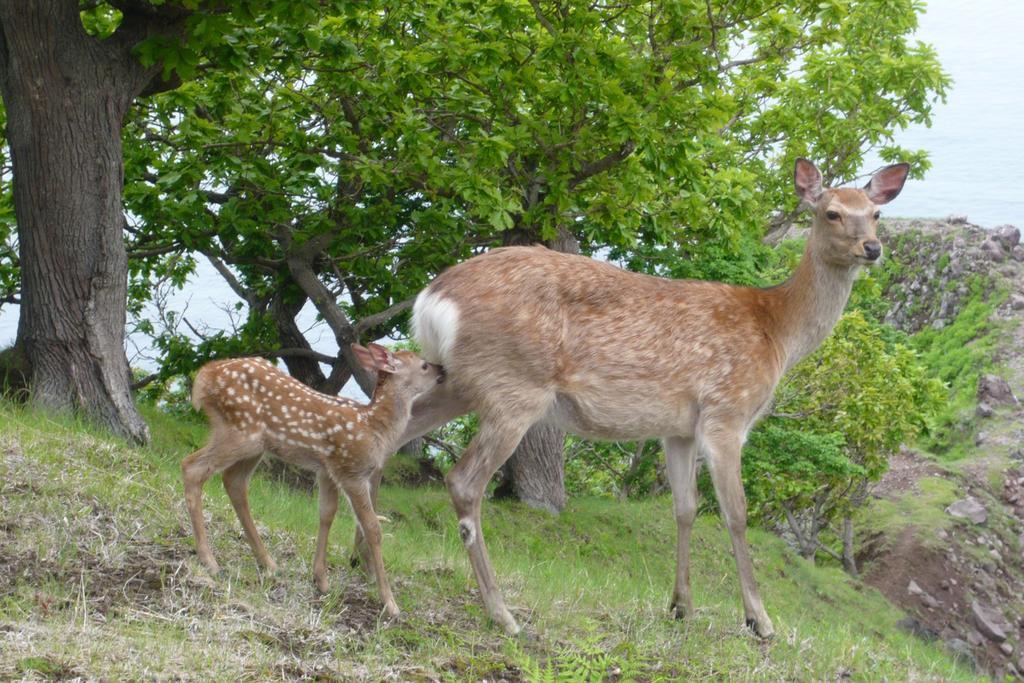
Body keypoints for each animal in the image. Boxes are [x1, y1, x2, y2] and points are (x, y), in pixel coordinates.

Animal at [184, 344, 444, 618]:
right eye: (424, 365)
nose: (442, 369)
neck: (374, 428)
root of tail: (204, 376)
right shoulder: (351, 469)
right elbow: (373, 527)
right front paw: (390, 602)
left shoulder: (327, 470)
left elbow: (326, 514)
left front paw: (320, 579)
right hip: (239, 431)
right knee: (192, 467)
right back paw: (210, 560)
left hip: (254, 445)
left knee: (234, 482)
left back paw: (268, 562)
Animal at [403, 158, 909, 634]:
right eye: (831, 213)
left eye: (876, 213)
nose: (872, 248)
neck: (777, 332)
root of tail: (431, 299)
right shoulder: (727, 410)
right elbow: (735, 513)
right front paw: (759, 620)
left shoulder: (678, 429)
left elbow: (684, 509)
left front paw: (681, 607)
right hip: (515, 386)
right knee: (464, 481)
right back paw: (502, 613)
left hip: (459, 380)